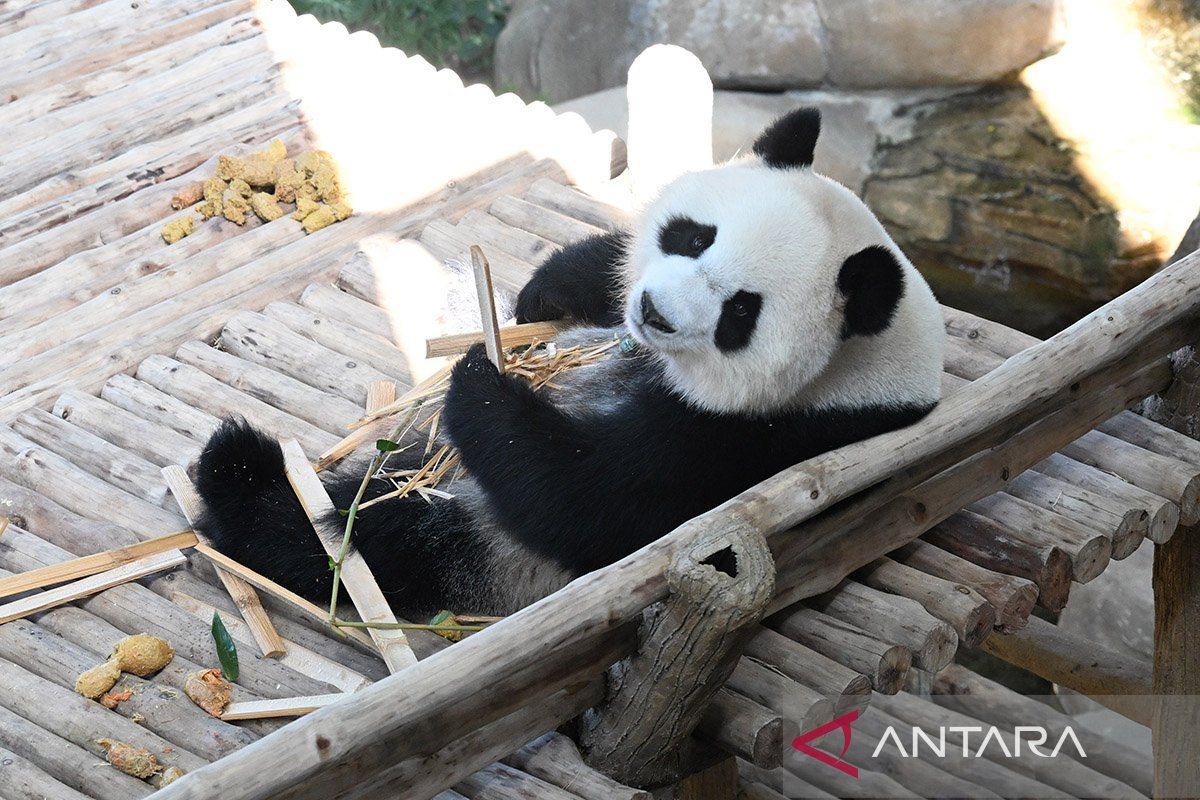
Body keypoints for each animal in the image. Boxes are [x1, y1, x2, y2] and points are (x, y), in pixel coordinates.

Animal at [193, 107, 945, 619]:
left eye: (741, 311)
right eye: (693, 236)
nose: (653, 313)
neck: (862, 374)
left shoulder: (758, 442)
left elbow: (591, 500)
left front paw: (481, 382)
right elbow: (592, 269)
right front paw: (544, 294)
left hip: (489, 549)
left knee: (382, 540)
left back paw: (242, 486)